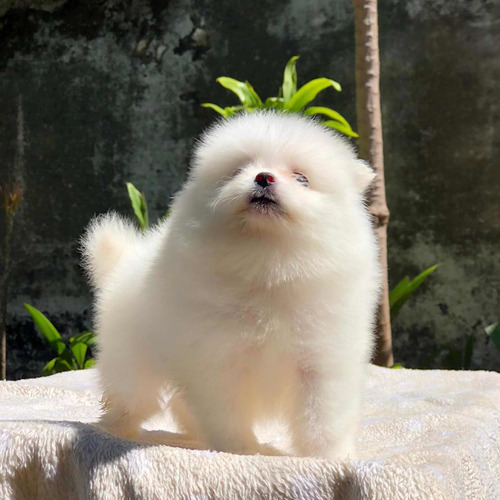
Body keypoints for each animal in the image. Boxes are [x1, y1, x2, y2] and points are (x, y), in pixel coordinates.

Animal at [82, 111, 378, 458]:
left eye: (301, 178)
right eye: (237, 171)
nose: (263, 177)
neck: (269, 264)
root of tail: (123, 260)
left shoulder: (321, 358)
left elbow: (323, 416)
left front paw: (330, 457)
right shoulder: (220, 359)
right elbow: (228, 414)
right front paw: (242, 451)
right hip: (130, 356)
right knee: (131, 397)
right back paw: (115, 429)